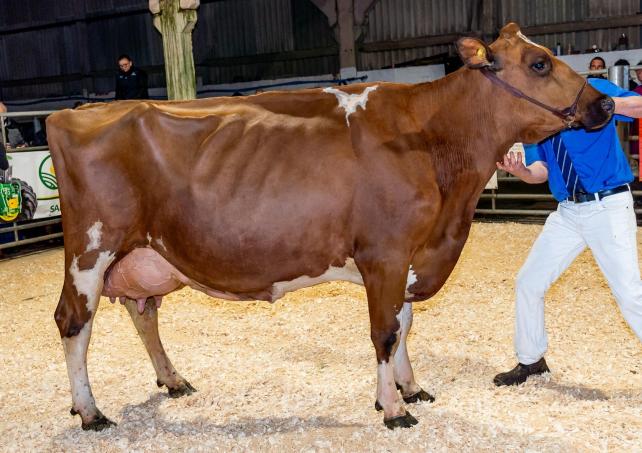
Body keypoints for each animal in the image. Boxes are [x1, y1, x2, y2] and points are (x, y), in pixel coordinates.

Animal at [46, 23, 608, 430]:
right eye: (539, 63)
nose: (603, 103)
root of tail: (71, 114)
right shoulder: (385, 252)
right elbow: (385, 331)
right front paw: (394, 409)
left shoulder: (407, 256)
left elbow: (404, 325)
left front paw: (409, 387)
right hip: (91, 251)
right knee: (74, 322)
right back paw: (91, 412)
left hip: (141, 255)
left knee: (143, 312)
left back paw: (173, 380)